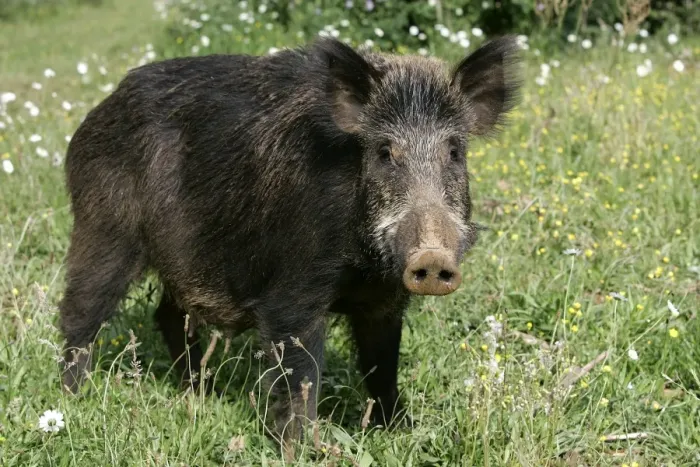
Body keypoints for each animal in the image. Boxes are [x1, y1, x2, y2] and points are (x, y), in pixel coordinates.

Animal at [58, 36, 521, 455]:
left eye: (455, 151)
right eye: (384, 152)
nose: (432, 257)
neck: (363, 266)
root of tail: (98, 111)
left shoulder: (385, 301)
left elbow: (382, 368)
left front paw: (399, 432)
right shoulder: (293, 295)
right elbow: (300, 379)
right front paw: (299, 450)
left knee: (168, 317)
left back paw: (200, 393)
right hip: (104, 229)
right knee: (80, 311)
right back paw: (73, 398)